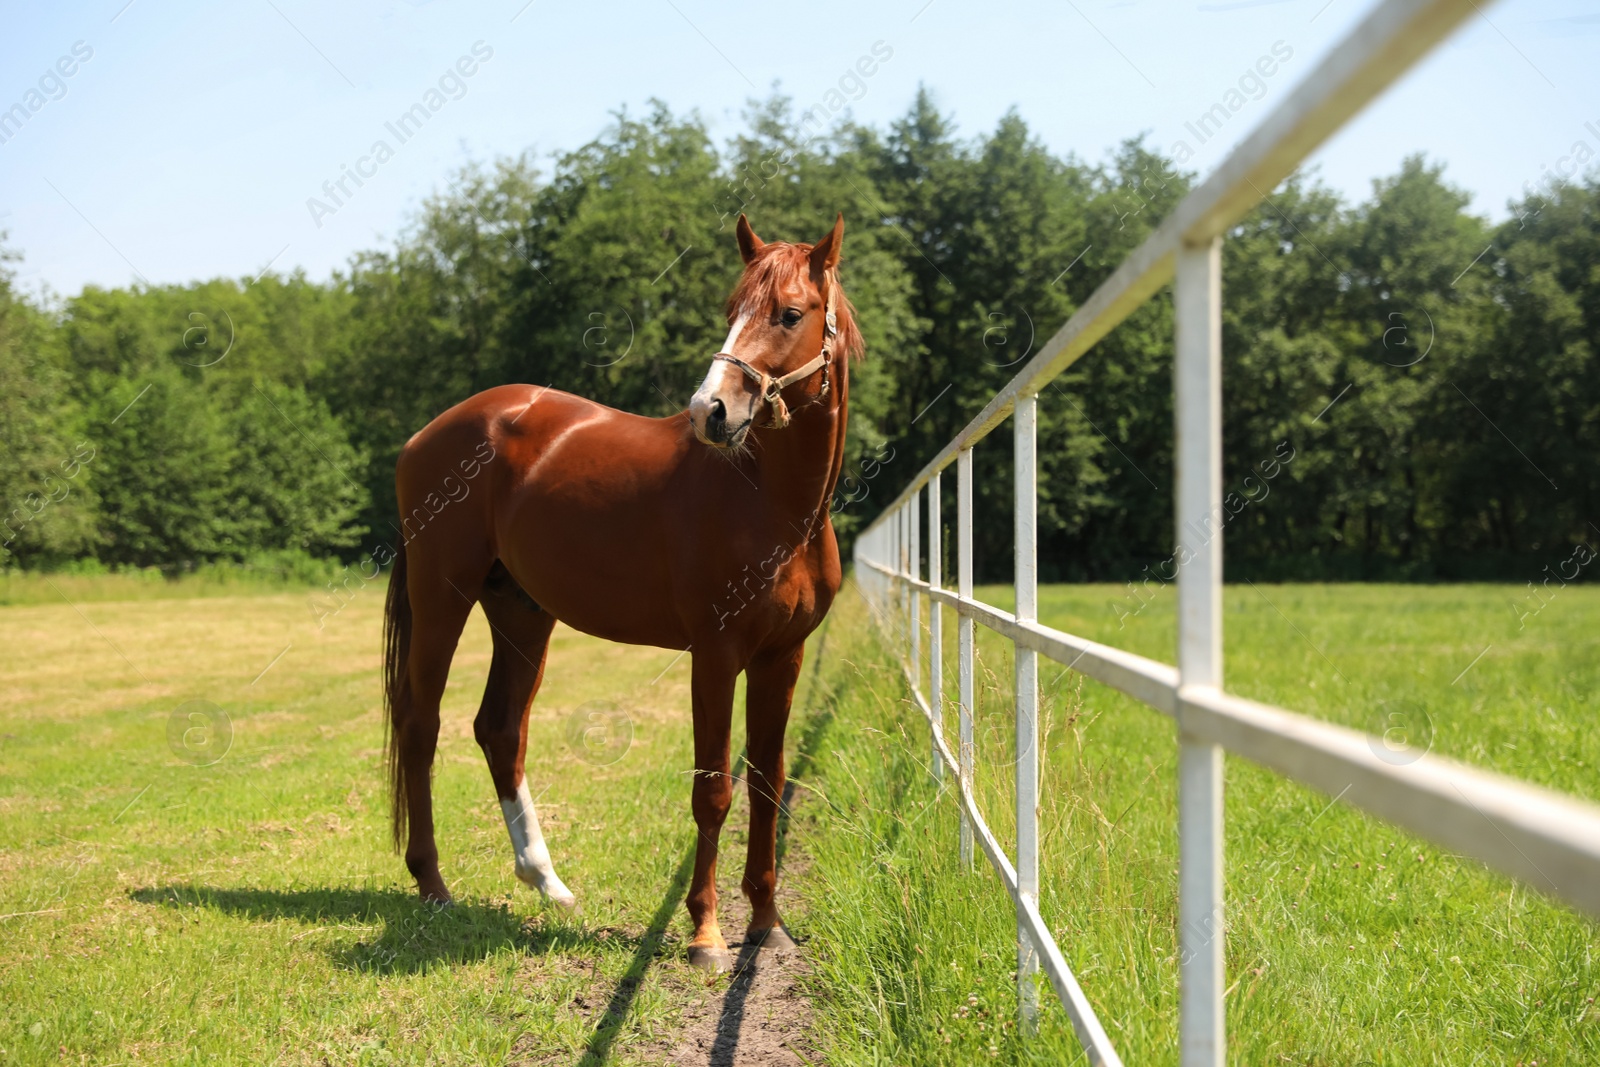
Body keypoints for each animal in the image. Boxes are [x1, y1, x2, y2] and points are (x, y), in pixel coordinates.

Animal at [381, 213, 861, 971]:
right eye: (731, 309)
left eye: (790, 313)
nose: (710, 410)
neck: (772, 502)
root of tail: (427, 434)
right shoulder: (716, 654)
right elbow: (714, 788)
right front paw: (705, 933)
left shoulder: (781, 656)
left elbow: (767, 782)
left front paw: (767, 921)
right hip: (442, 597)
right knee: (419, 721)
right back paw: (433, 883)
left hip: (521, 612)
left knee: (499, 728)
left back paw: (546, 880)